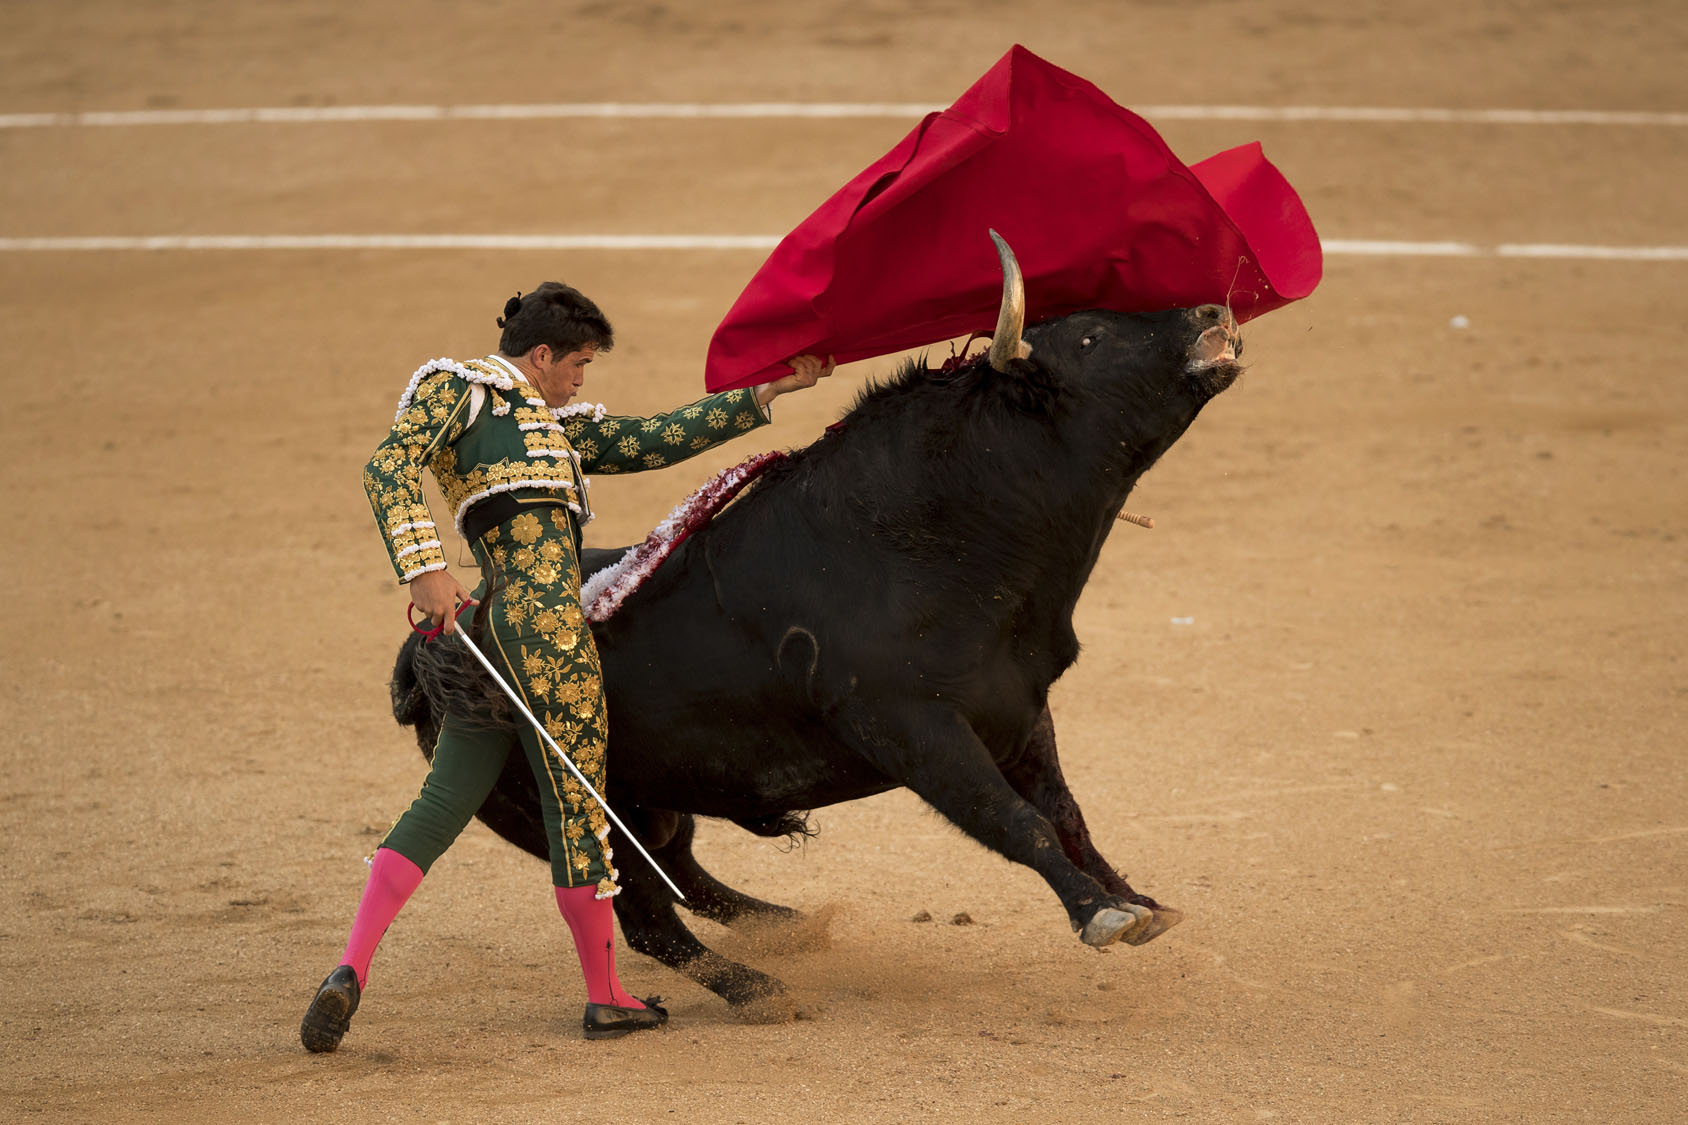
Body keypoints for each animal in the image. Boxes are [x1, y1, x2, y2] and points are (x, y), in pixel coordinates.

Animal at [388, 265, 1249, 1006]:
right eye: (1091, 338)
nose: (1212, 311)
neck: (938, 534)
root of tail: (429, 648)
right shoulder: (912, 727)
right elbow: (1014, 818)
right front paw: (1101, 914)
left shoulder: (1017, 708)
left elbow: (1067, 815)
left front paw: (1135, 899)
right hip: (565, 801)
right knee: (643, 916)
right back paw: (759, 991)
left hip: (648, 799)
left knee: (682, 873)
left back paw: (792, 928)